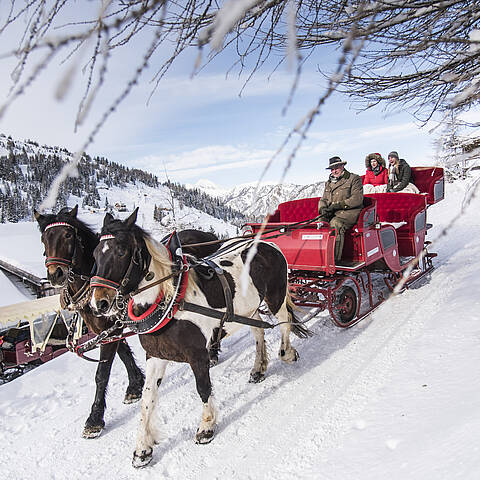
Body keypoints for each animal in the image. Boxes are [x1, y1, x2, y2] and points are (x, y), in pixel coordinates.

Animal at [34, 205, 219, 438]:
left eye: (68, 235)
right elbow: (123, 353)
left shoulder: (113, 329)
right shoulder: (106, 330)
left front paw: (94, 419)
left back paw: (213, 353)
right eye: (44, 238)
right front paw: (135, 384)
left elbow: (102, 373)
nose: (55, 274)